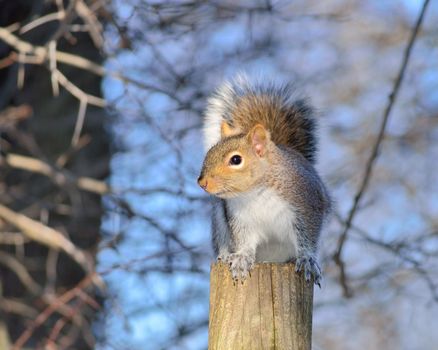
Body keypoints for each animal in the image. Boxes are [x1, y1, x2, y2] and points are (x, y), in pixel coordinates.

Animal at [197, 76, 330, 284]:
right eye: (210, 152)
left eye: (236, 160)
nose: (202, 182)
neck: (255, 193)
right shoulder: (240, 219)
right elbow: (245, 240)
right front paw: (242, 258)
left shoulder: (307, 205)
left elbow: (307, 236)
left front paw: (307, 259)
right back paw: (225, 256)